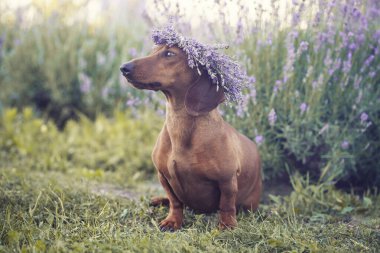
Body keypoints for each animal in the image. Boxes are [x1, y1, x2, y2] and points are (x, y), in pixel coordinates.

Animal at [119, 45, 262, 231]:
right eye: (153, 50)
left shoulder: (227, 180)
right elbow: (175, 202)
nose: (124, 68)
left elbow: (226, 205)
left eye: (169, 53)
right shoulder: (163, 176)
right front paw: (173, 221)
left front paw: (227, 225)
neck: (181, 129)